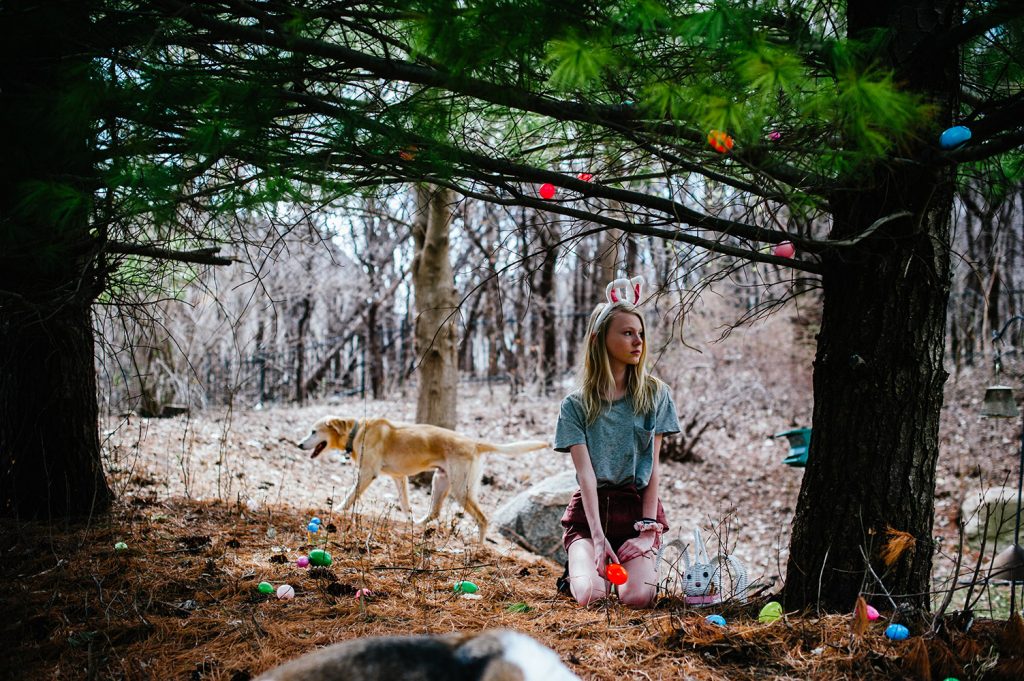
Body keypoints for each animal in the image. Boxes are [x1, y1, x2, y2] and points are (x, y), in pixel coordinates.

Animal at [299, 417, 548, 540]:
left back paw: (479, 547)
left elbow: (351, 496)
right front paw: (407, 521)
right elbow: (405, 505)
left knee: (483, 519)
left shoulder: (367, 473)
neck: (357, 431)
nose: (299, 444)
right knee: (434, 512)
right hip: (440, 481)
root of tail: (474, 443)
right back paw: (418, 525)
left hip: (461, 490)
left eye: (313, 431)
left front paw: (337, 509)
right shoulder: (400, 478)